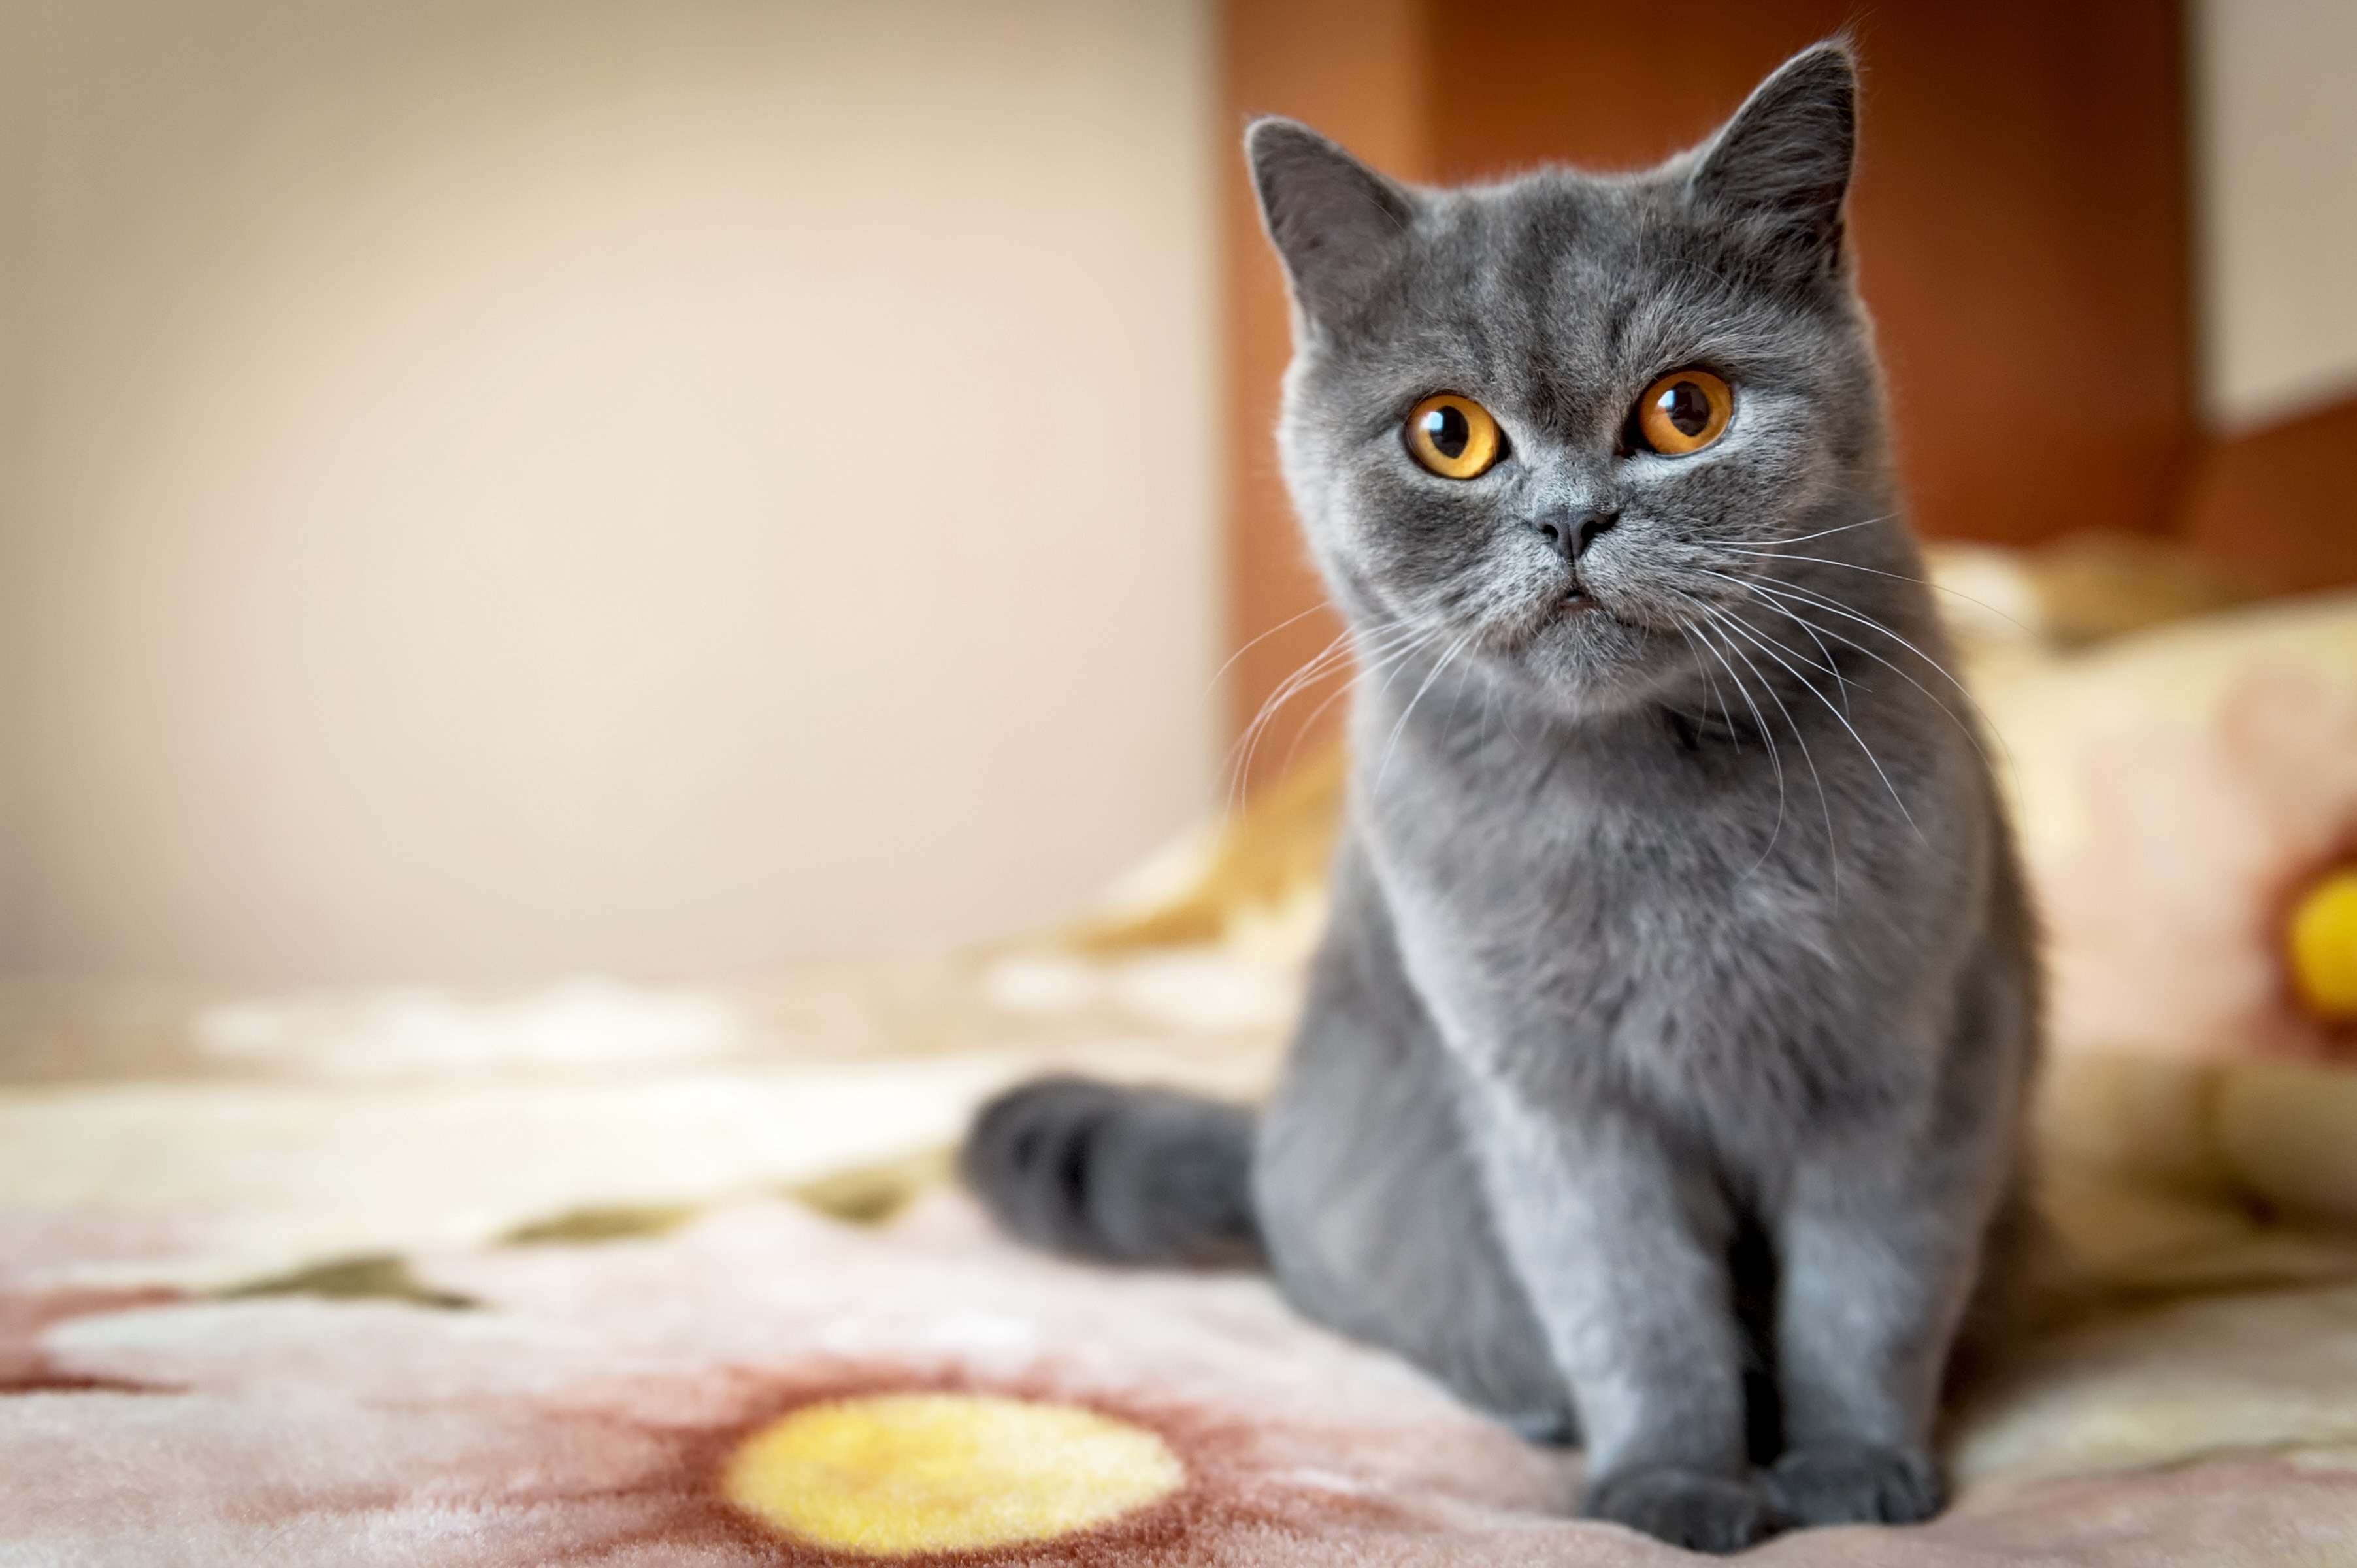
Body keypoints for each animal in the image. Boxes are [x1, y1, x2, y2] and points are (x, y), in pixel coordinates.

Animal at [966, 42, 2036, 1546]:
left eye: (1686, 410)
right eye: (1447, 436)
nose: (1571, 519)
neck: (1647, 810)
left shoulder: (1910, 1055)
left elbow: (1863, 1299)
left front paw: (1846, 1479)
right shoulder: (1555, 1102)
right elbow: (1635, 1314)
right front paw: (1670, 1491)